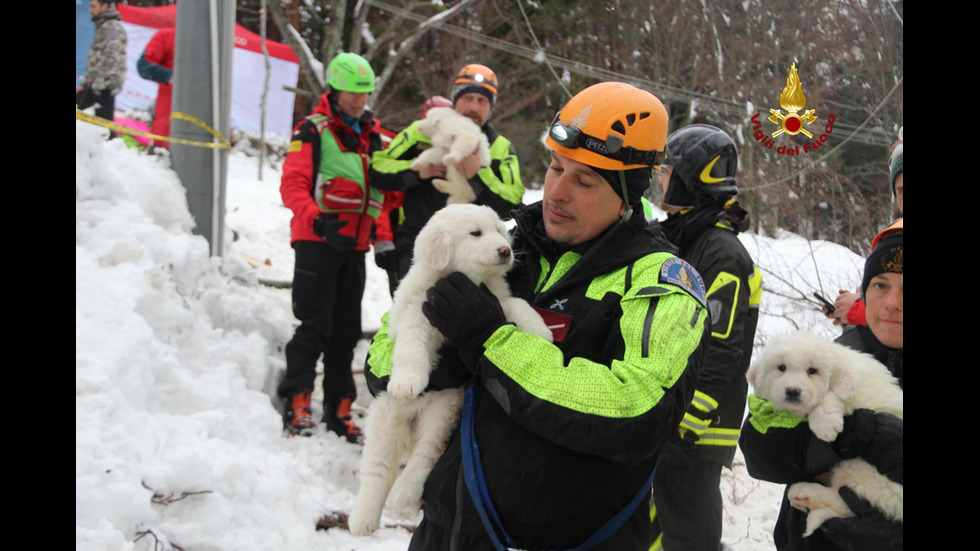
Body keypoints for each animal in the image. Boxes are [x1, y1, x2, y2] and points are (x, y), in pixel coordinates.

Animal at [350, 205, 552, 536]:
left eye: (499, 230)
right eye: (475, 233)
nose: (506, 250)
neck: (466, 280)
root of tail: (412, 423)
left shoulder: (496, 300)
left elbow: (517, 305)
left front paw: (541, 331)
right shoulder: (419, 312)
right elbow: (411, 346)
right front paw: (406, 382)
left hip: (442, 413)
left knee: (424, 456)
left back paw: (404, 493)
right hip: (385, 421)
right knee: (377, 470)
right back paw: (362, 519)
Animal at [752, 330, 904, 536]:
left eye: (812, 371)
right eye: (781, 367)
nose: (793, 391)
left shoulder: (858, 394)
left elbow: (830, 395)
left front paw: (825, 424)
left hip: (865, 471)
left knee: (848, 501)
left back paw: (804, 492)